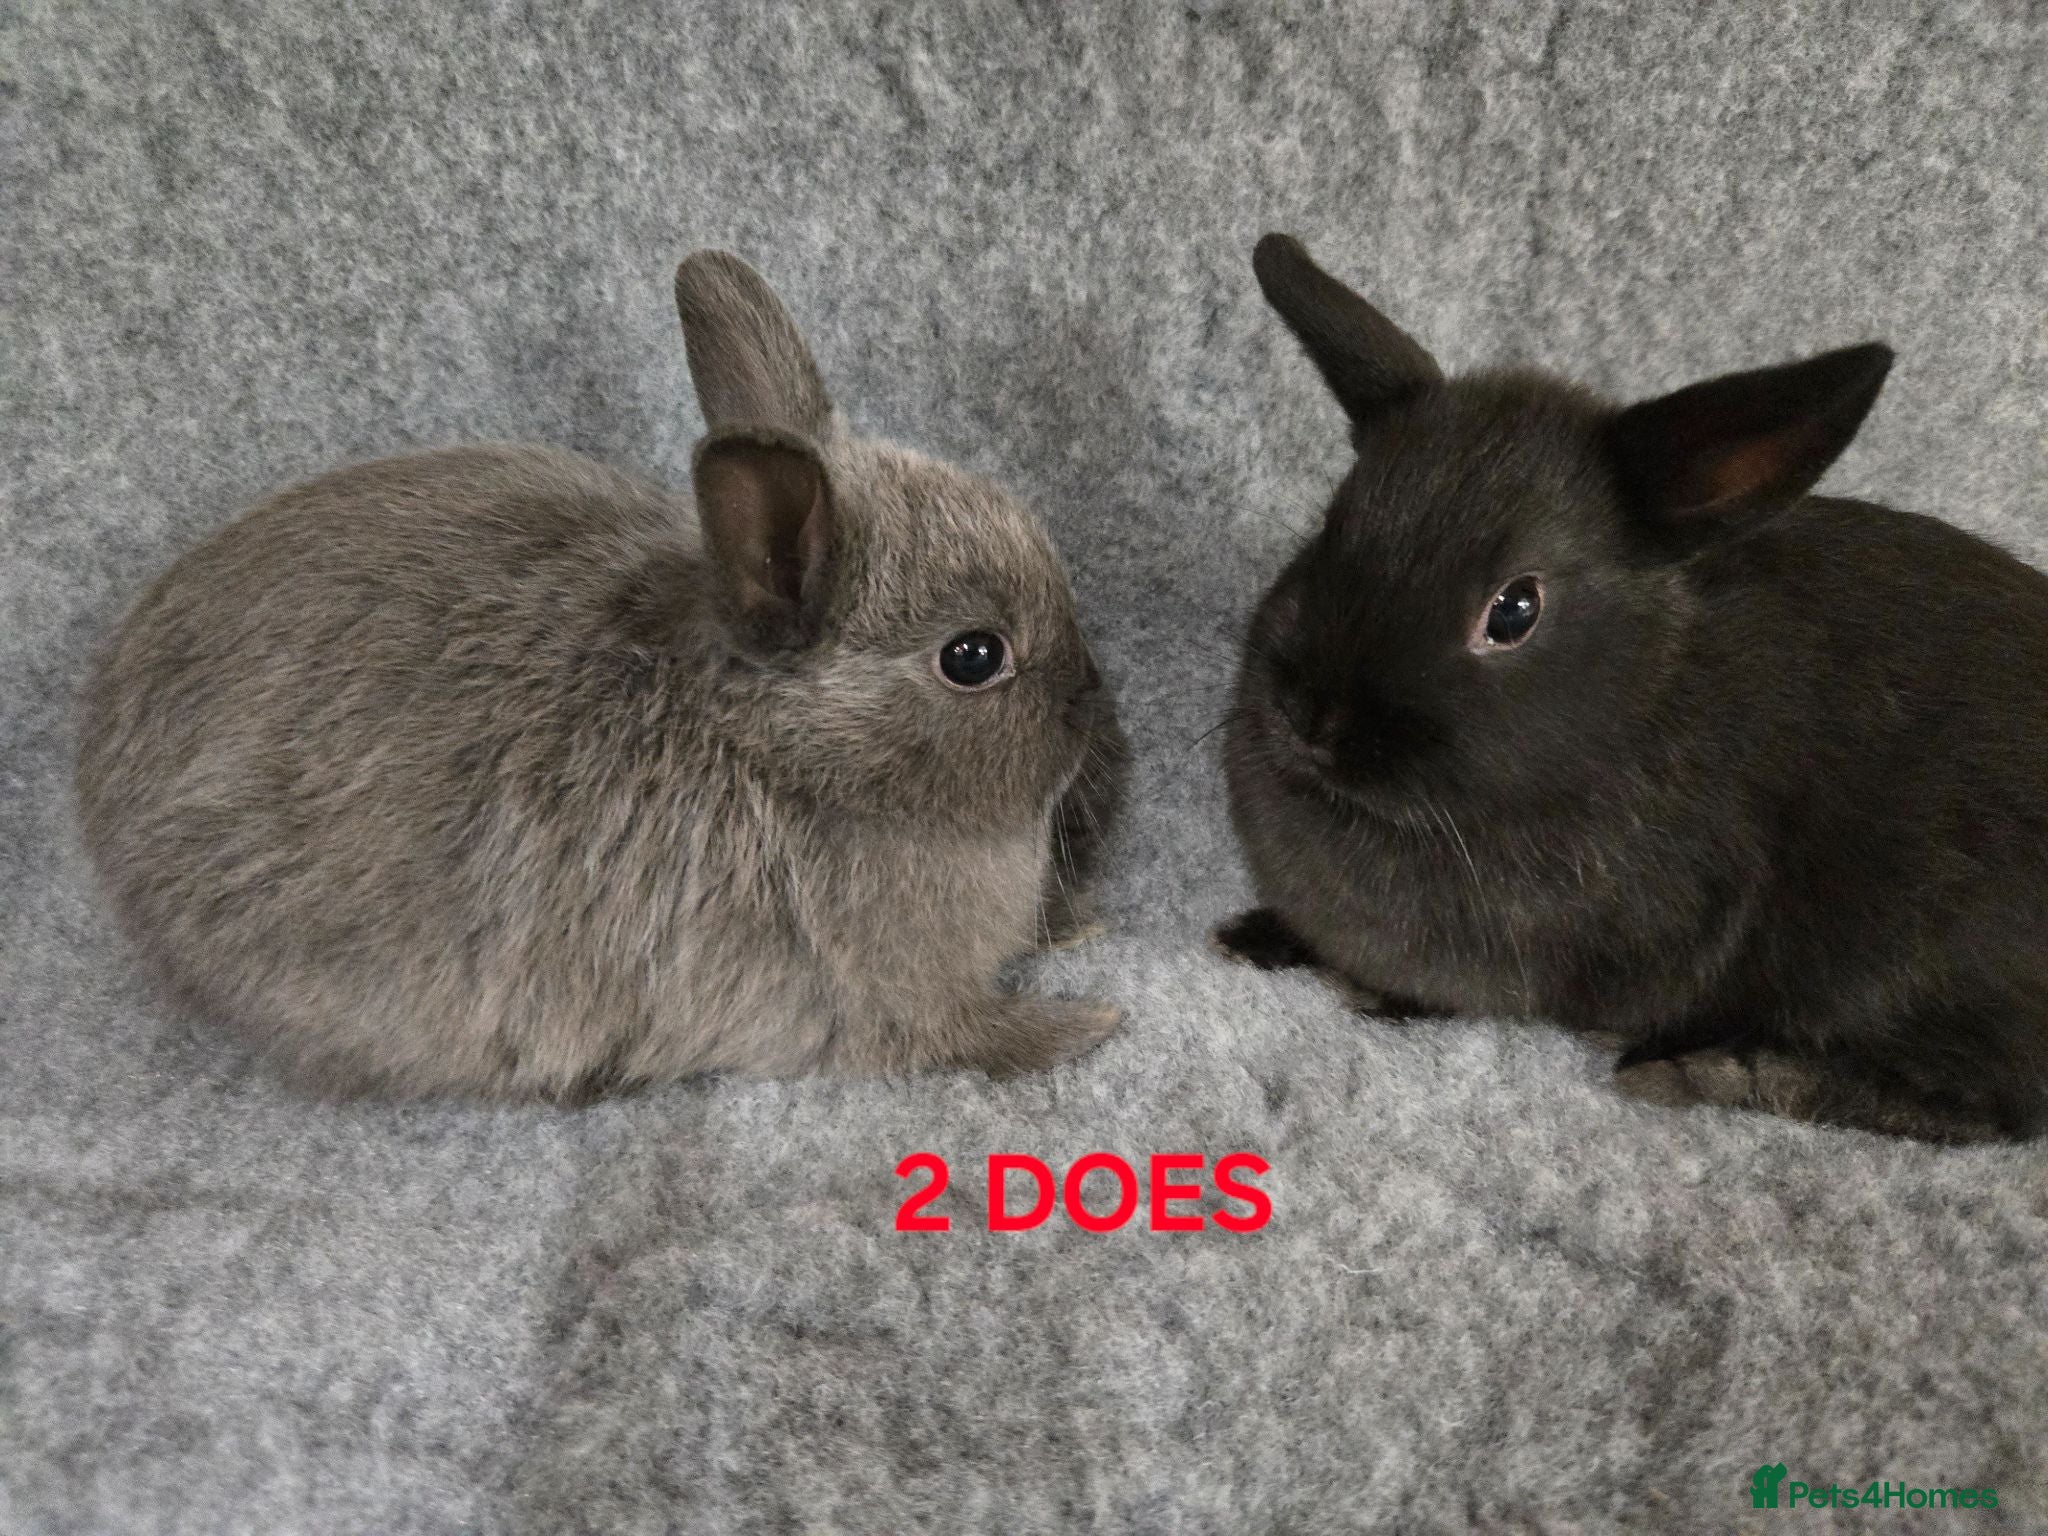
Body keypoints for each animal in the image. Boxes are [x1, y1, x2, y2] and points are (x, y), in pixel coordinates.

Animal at [75, 250, 1129, 1102]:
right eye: (972, 656)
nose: (1094, 701)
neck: (785, 754)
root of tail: (97, 782)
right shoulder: (880, 998)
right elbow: (971, 1040)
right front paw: (1087, 1024)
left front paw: (1074, 924)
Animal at [1214, 232, 2048, 1143]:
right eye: (1333, 526)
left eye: (1514, 610)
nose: (1309, 717)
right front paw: (1253, 935)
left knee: (1995, 1110)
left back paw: (1717, 1072)